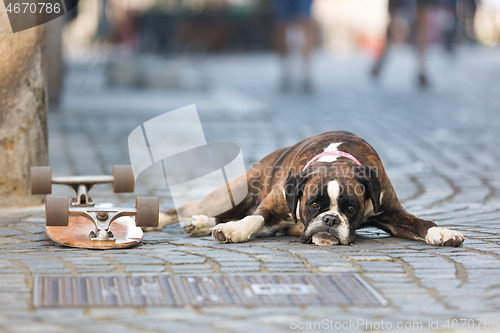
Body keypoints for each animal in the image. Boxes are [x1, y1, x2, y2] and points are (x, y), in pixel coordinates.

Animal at [155, 131, 464, 245]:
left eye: (350, 208)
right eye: (313, 204)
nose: (330, 220)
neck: (336, 160)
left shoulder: (391, 212)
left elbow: (420, 222)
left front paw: (441, 231)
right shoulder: (273, 206)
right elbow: (254, 218)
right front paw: (234, 231)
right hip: (236, 192)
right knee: (195, 207)